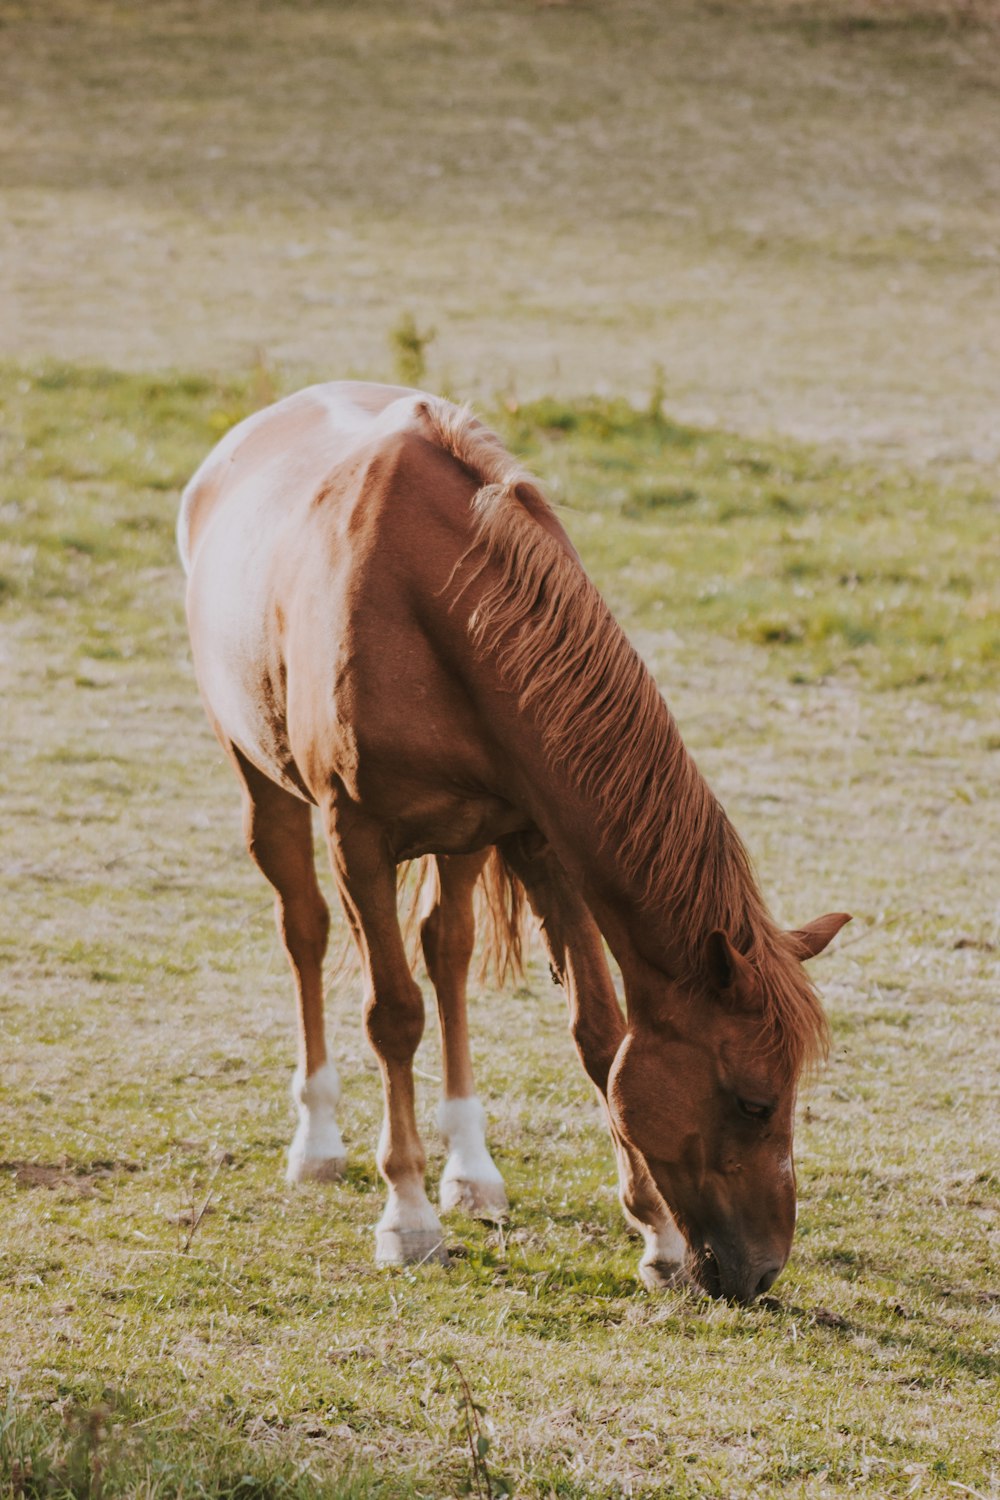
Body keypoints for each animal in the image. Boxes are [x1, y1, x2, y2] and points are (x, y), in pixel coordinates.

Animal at [176, 384, 851, 1302]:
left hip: (463, 839)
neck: (437, 597)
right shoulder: (358, 835)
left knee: (448, 951)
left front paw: (657, 1237)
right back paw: (319, 1142)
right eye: (753, 1101)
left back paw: (472, 1170)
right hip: (263, 781)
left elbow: (601, 1038)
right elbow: (393, 1016)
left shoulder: (538, 833)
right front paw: (407, 1217)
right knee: (305, 930)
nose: (763, 1271)